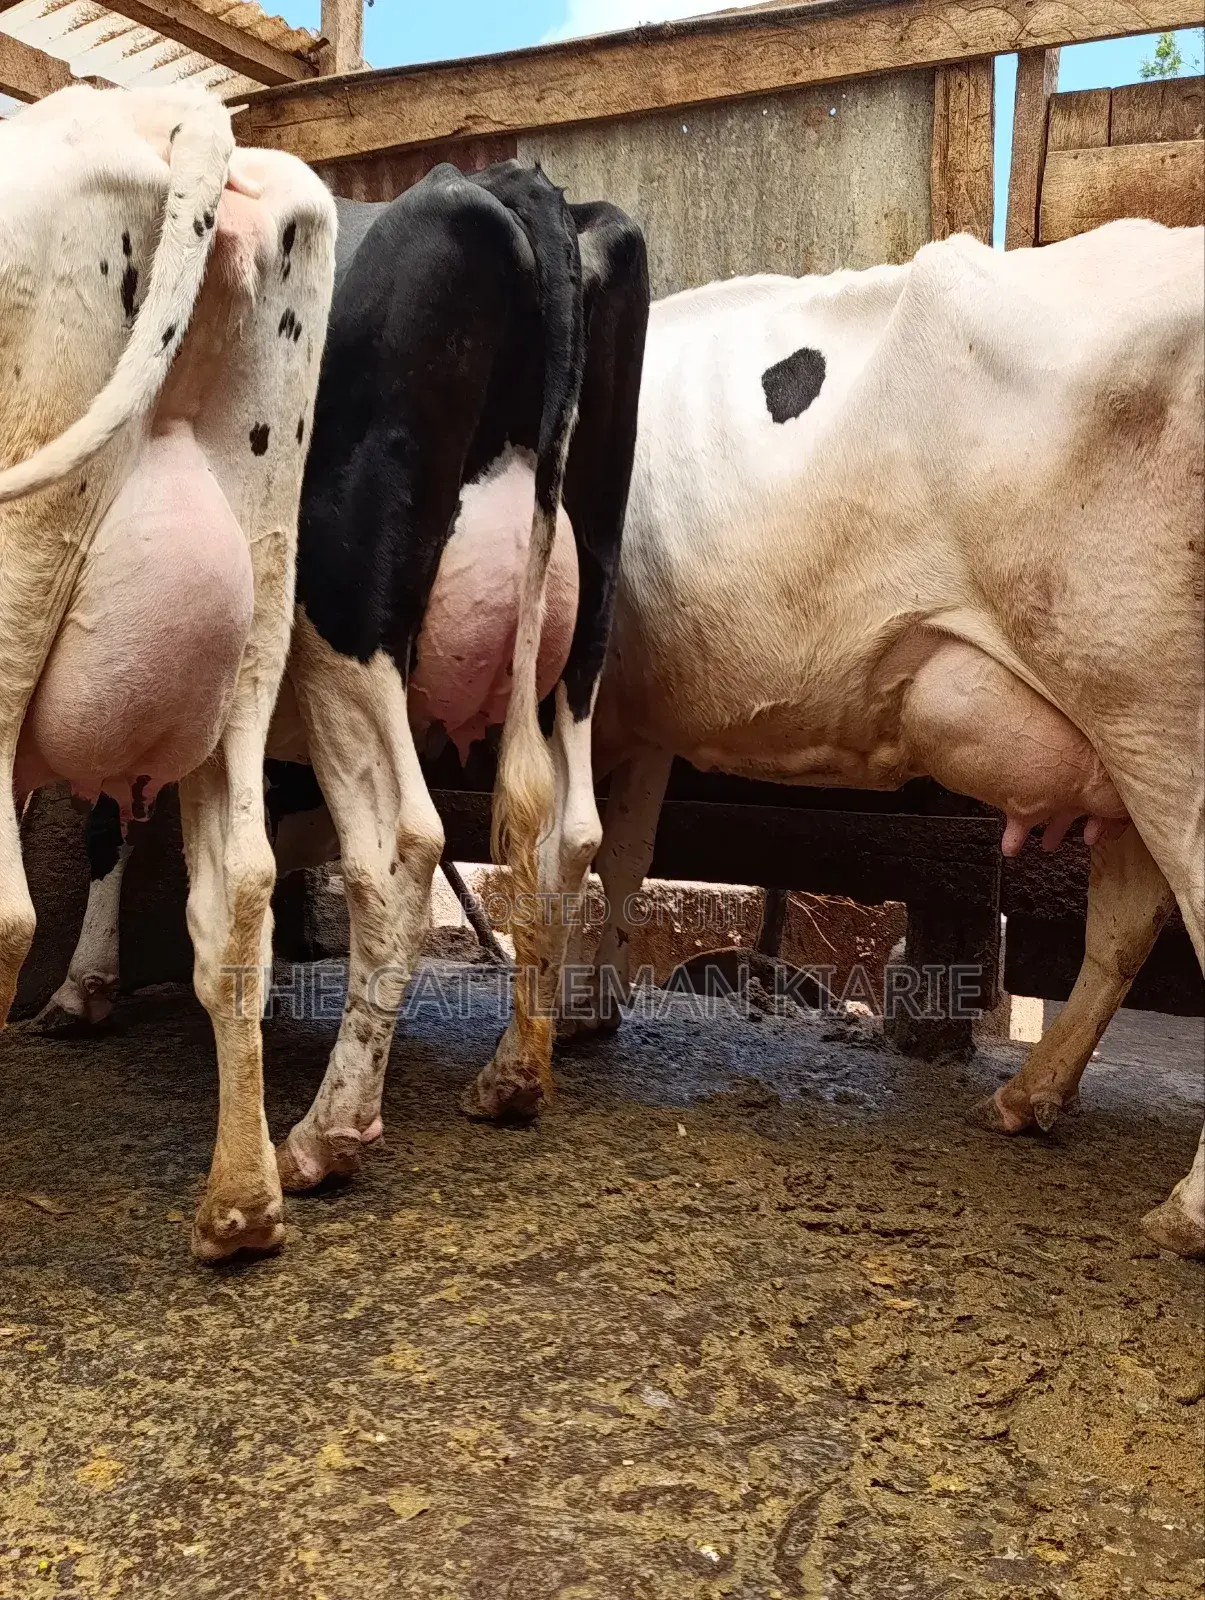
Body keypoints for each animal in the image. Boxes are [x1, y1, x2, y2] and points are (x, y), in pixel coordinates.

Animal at [1, 84, 337, 1261]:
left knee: (5, 908)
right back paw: (242, 1207)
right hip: (259, 595)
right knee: (241, 890)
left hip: (18, 560)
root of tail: (176, 108)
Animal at [23, 161, 651, 1203]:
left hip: (344, 614)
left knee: (404, 839)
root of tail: (507, 183)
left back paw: (328, 1129)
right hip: (583, 614)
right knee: (570, 830)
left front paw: (84, 985)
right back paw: (515, 1071)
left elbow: (116, 817)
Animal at [562, 221, 1204, 1258]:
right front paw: (591, 1008)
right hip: (1125, 735)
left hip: (1152, 708)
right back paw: (1026, 1099)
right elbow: (623, 855)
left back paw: (1184, 1211)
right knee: (1124, 924)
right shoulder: (645, 714)